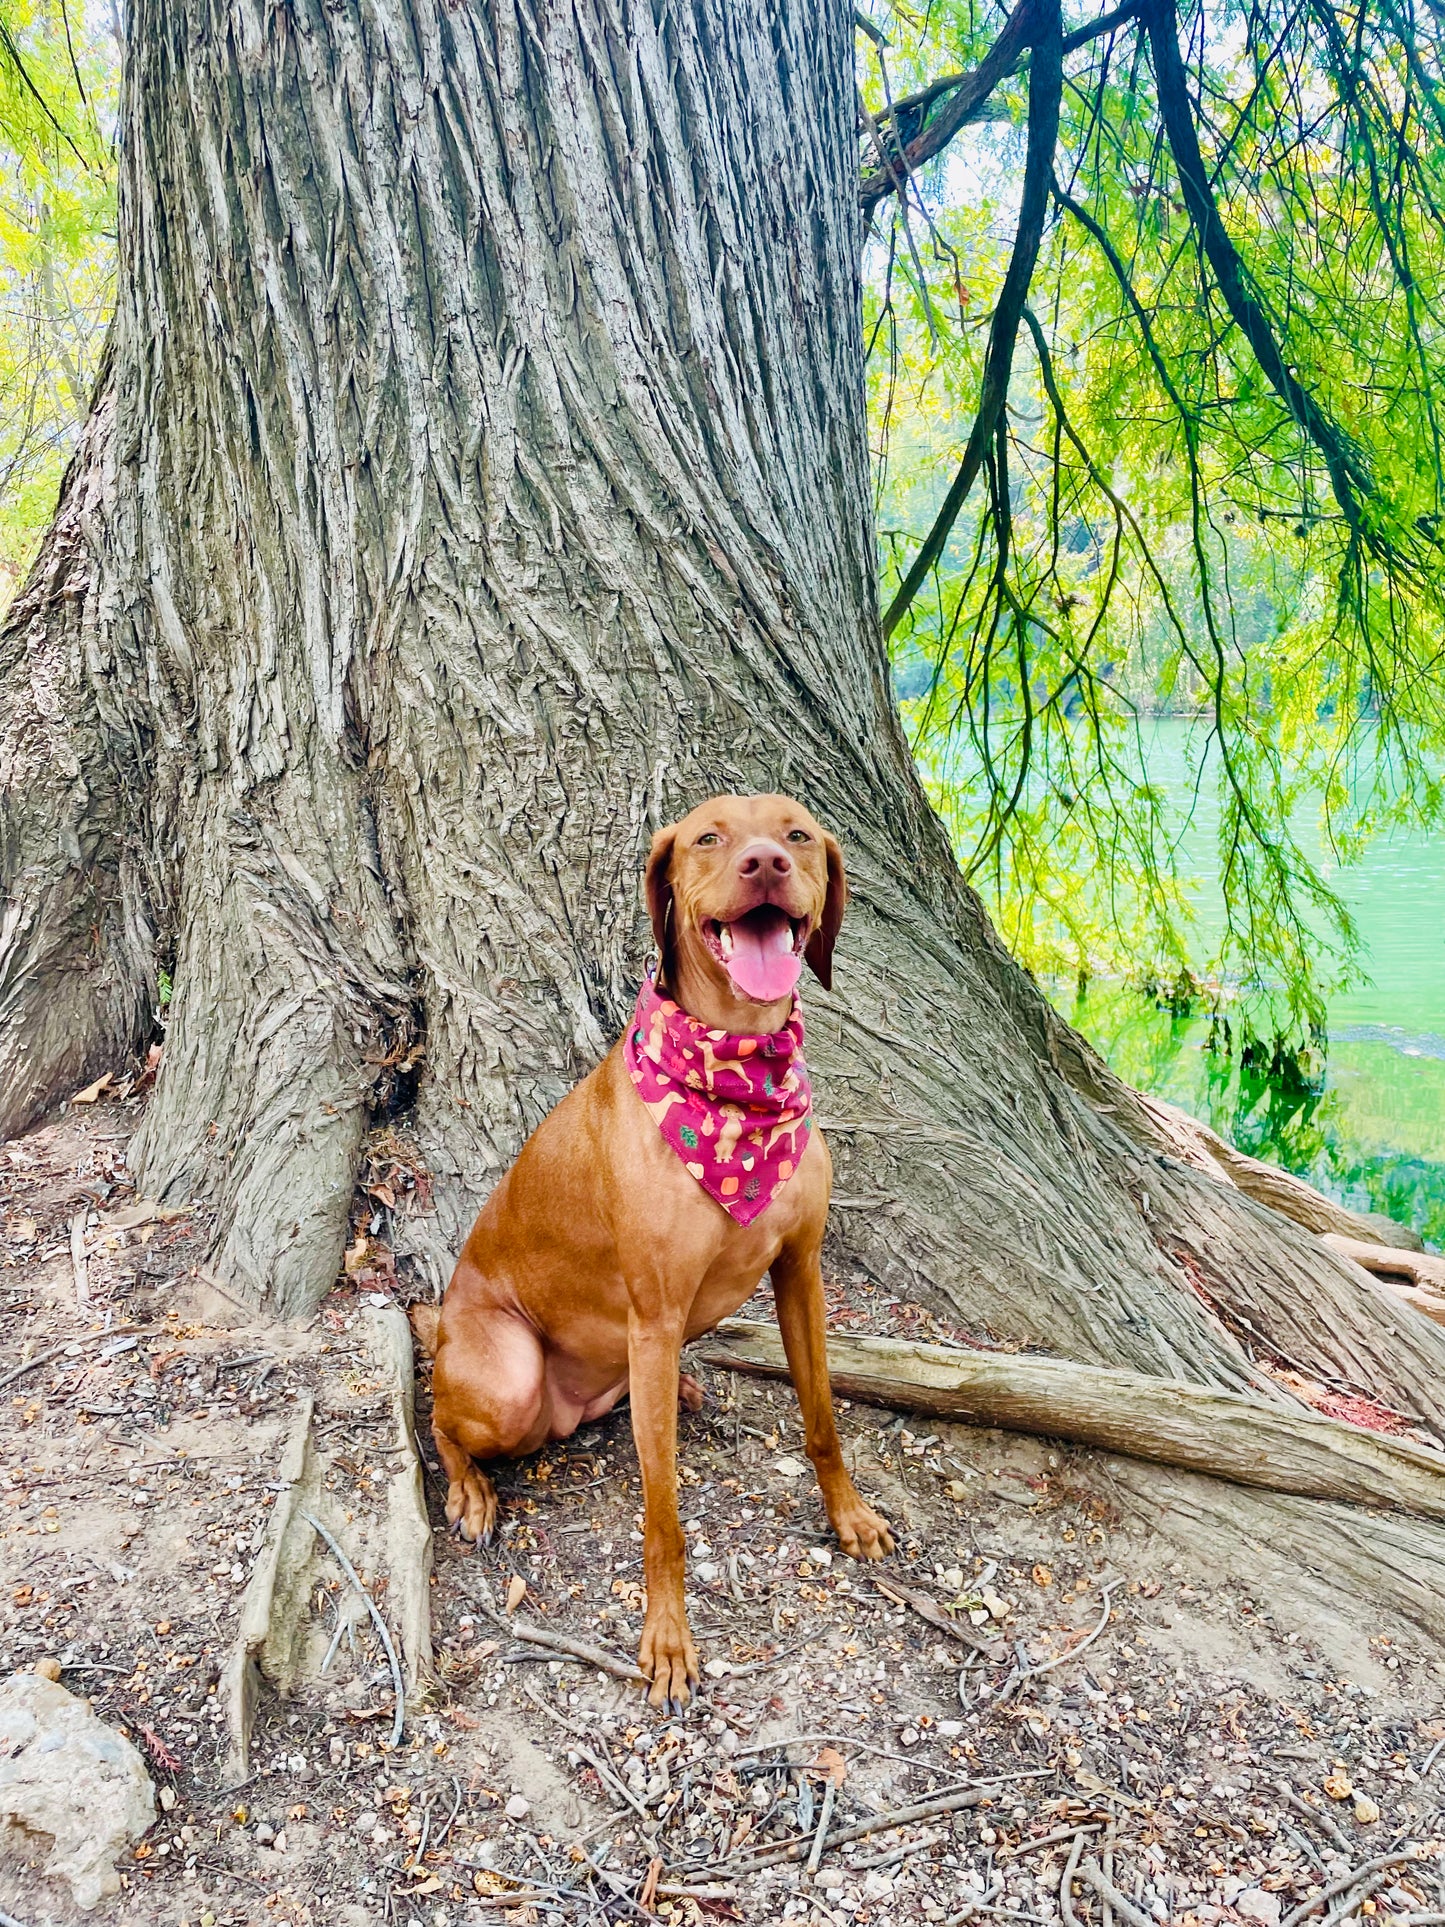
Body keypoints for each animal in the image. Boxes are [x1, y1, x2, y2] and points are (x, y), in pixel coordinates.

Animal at [427, 790, 893, 1711]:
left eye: (795, 833)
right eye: (708, 836)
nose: (763, 863)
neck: (736, 1082)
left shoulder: (800, 1273)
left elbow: (822, 1418)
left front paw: (848, 1514)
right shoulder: (653, 1310)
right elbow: (663, 1512)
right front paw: (669, 1639)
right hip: (509, 1379)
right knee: (434, 1412)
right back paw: (469, 1489)